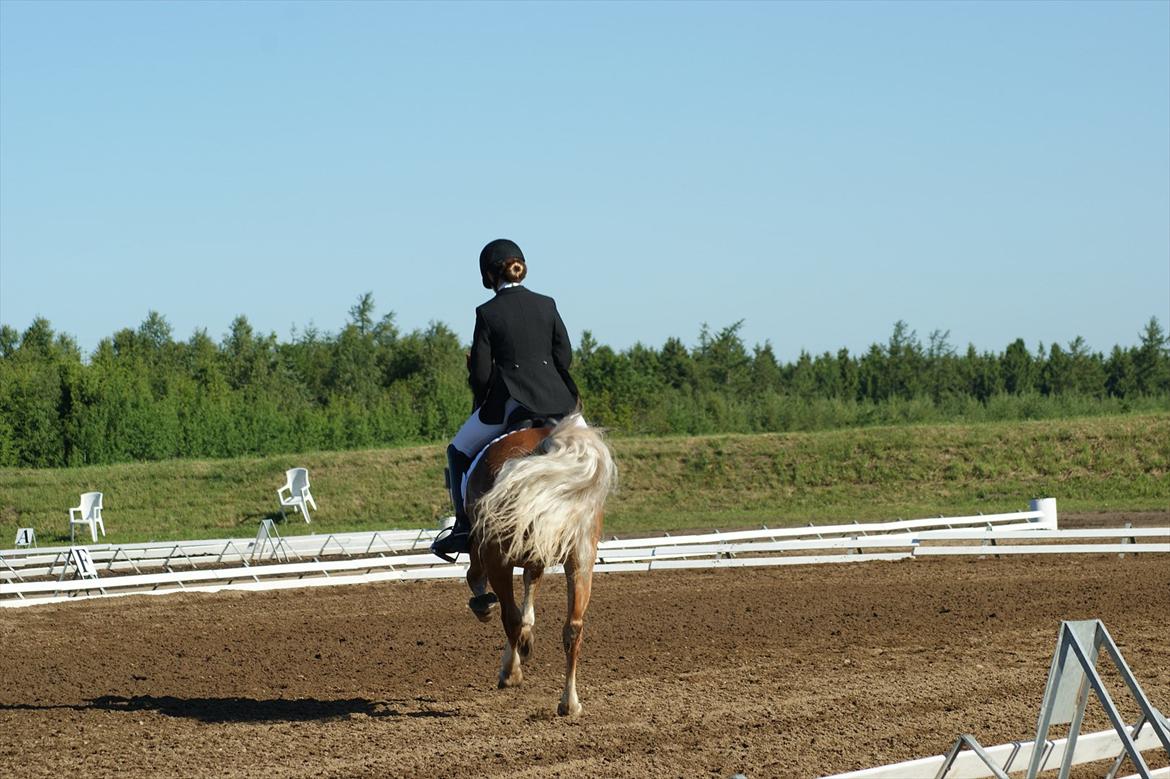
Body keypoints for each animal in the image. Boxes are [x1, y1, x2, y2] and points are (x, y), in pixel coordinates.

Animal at [460, 416, 617, 711]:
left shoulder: (486, 552)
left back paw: (511, 673)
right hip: (581, 558)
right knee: (573, 627)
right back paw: (570, 703)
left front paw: (486, 609)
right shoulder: (537, 557)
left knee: (508, 616)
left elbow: (479, 581)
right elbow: (528, 603)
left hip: (497, 555)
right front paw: (526, 638)